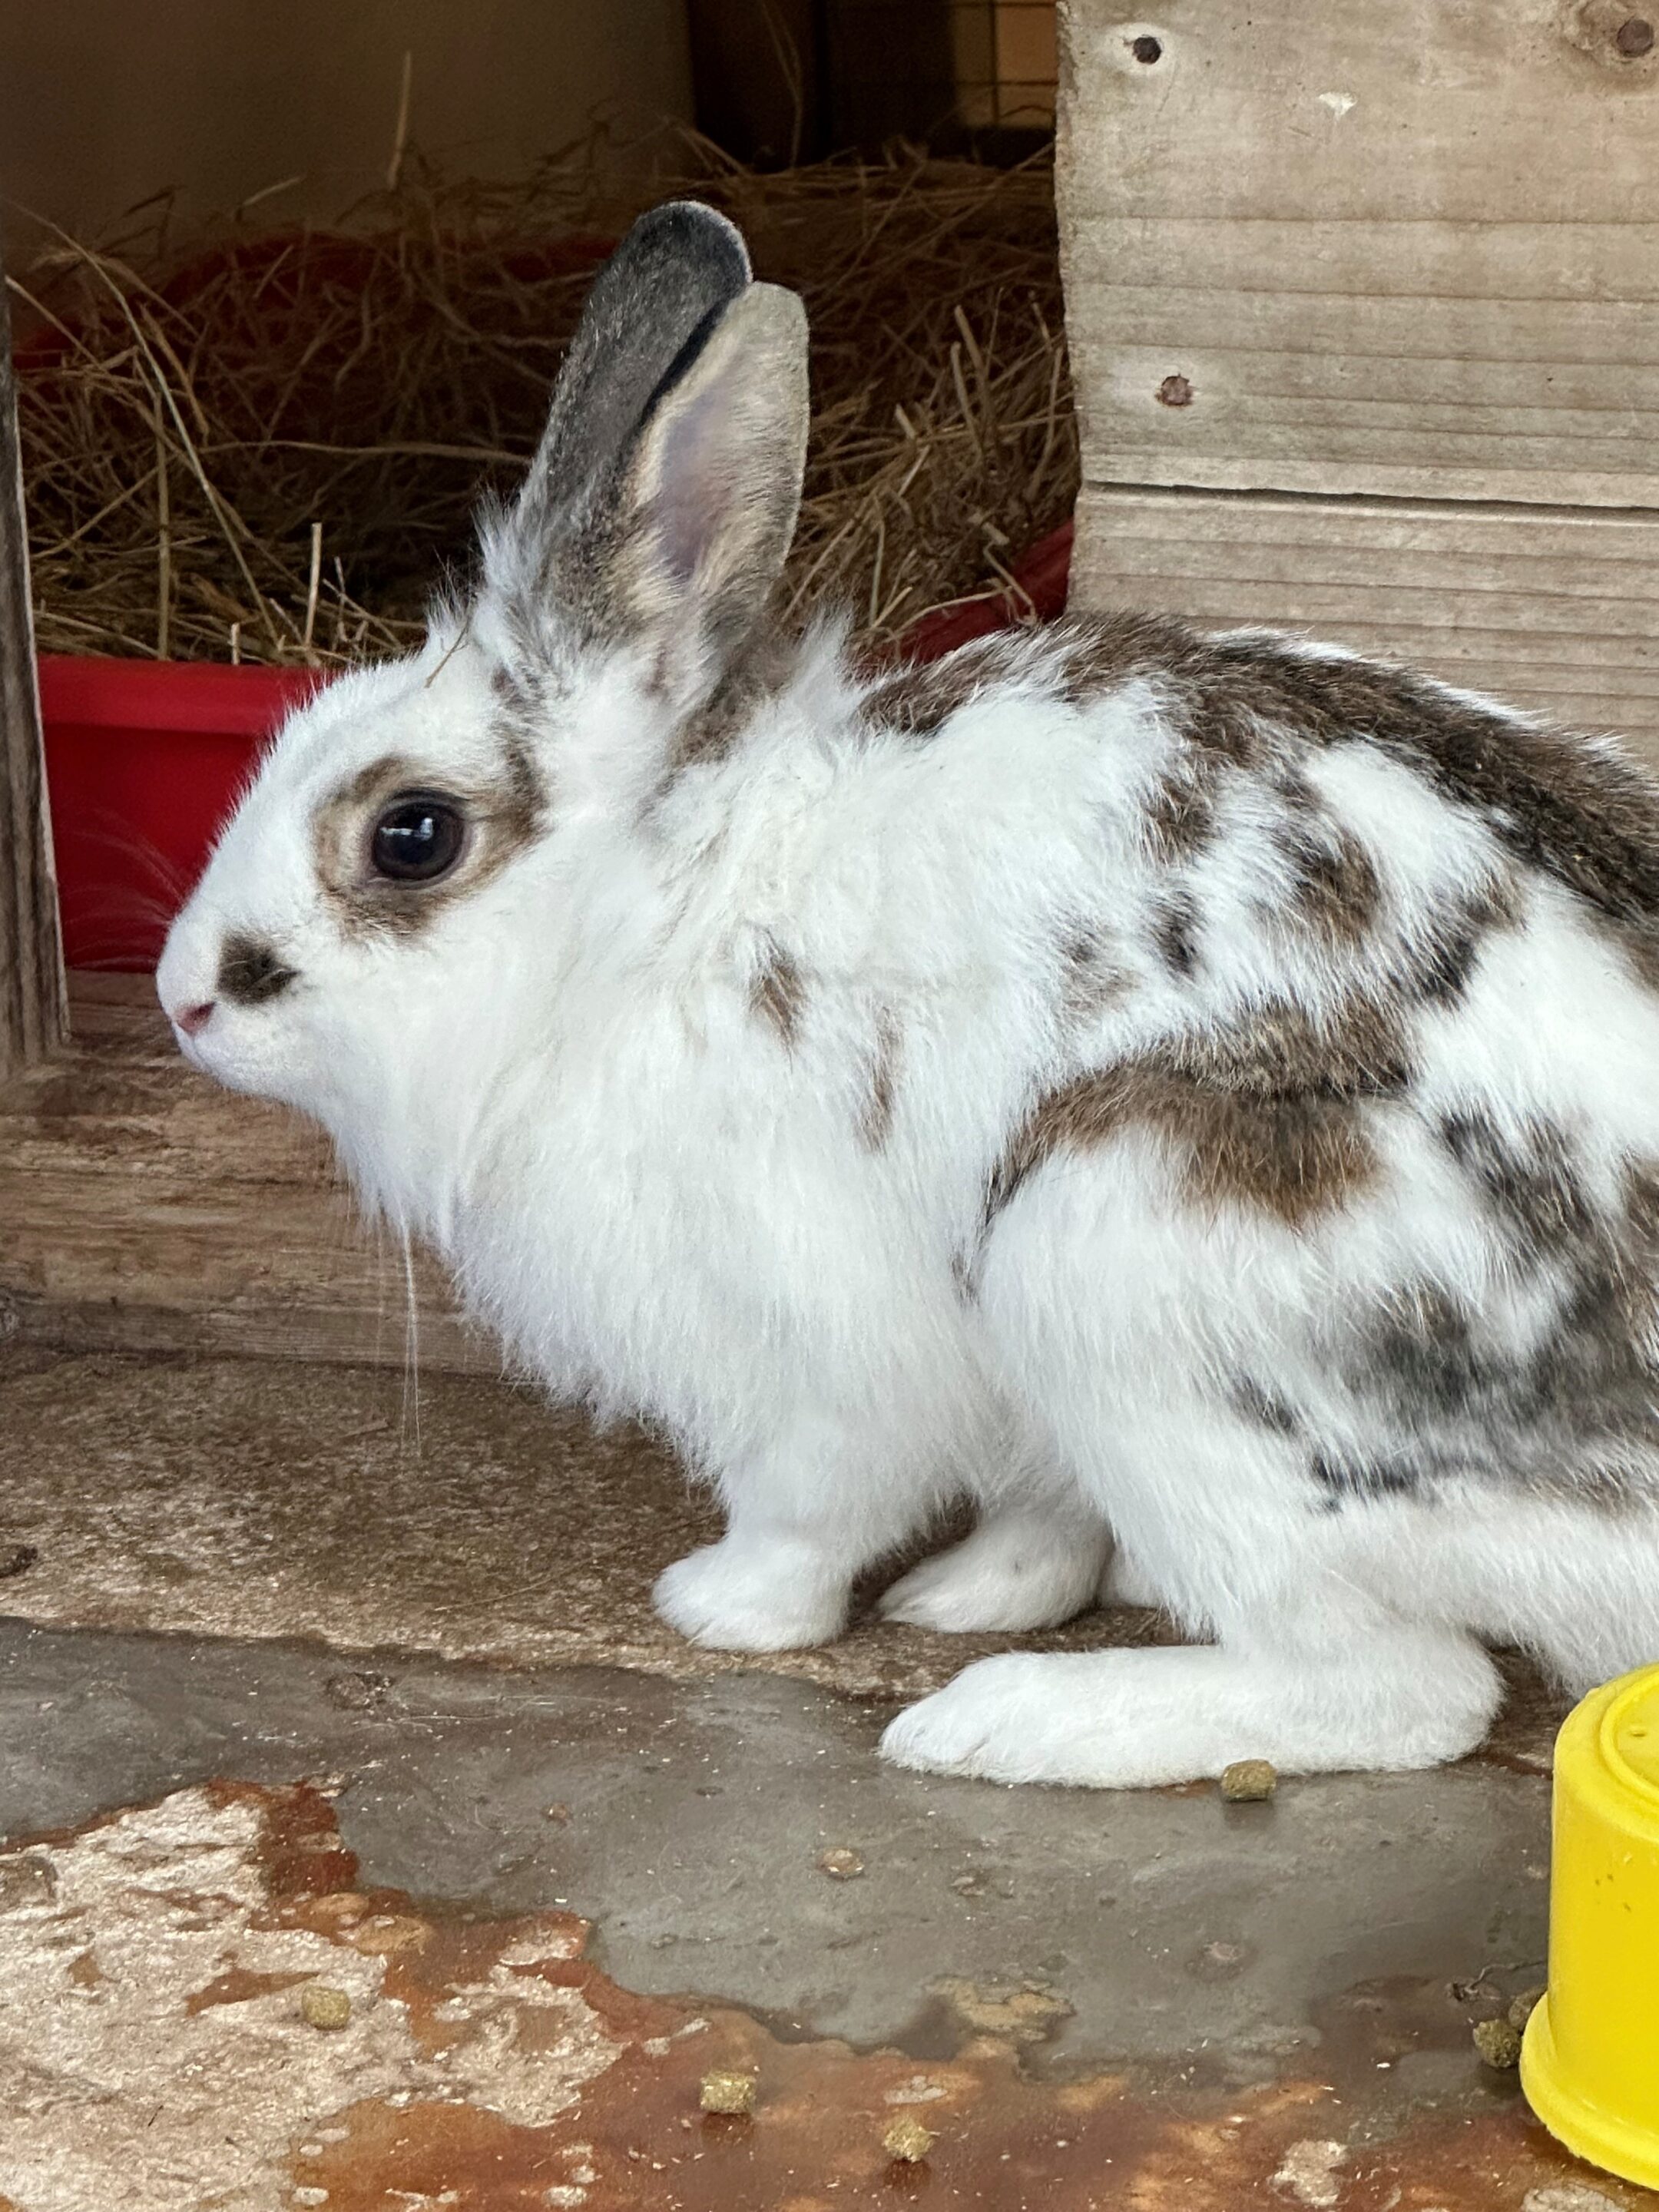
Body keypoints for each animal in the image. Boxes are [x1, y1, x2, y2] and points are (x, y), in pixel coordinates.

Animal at [159, 199, 1659, 1787]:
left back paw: (1004, 1720)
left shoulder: (819, 1343)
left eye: (412, 835)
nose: (187, 999)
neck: (643, 920)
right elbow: (1034, 1508)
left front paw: (720, 1607)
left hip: (1121, 1251)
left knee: (1401, 1687)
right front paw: (982, 1585)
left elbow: (815, 1503)